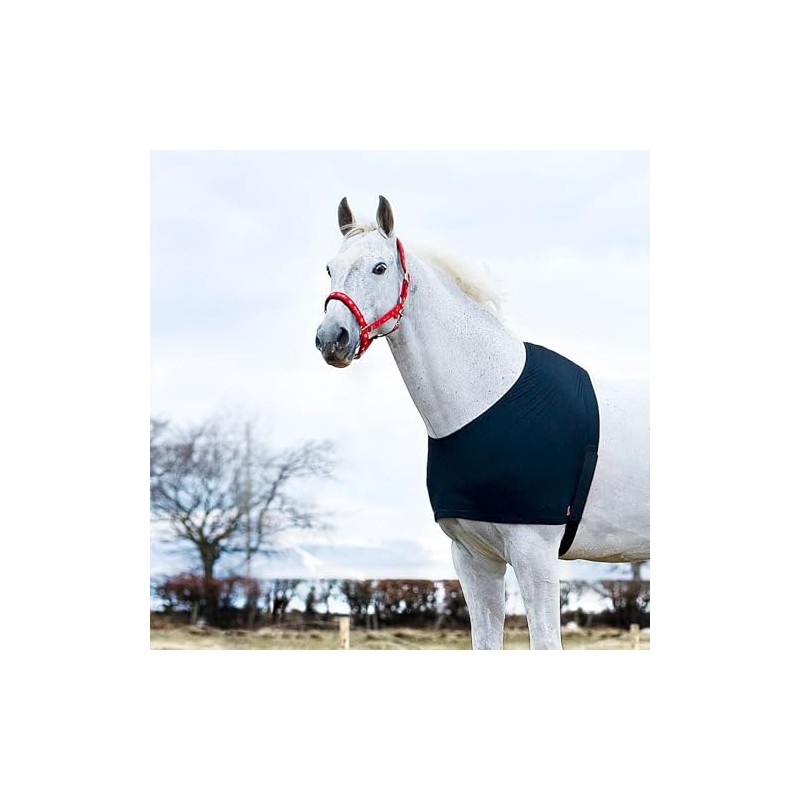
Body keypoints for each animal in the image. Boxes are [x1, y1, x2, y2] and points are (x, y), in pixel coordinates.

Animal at [315, 196, 649, 649]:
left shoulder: (535, 554)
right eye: (330, 268)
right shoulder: (474, 558)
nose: (332, 339)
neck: (487, 396)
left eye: (379, 268)